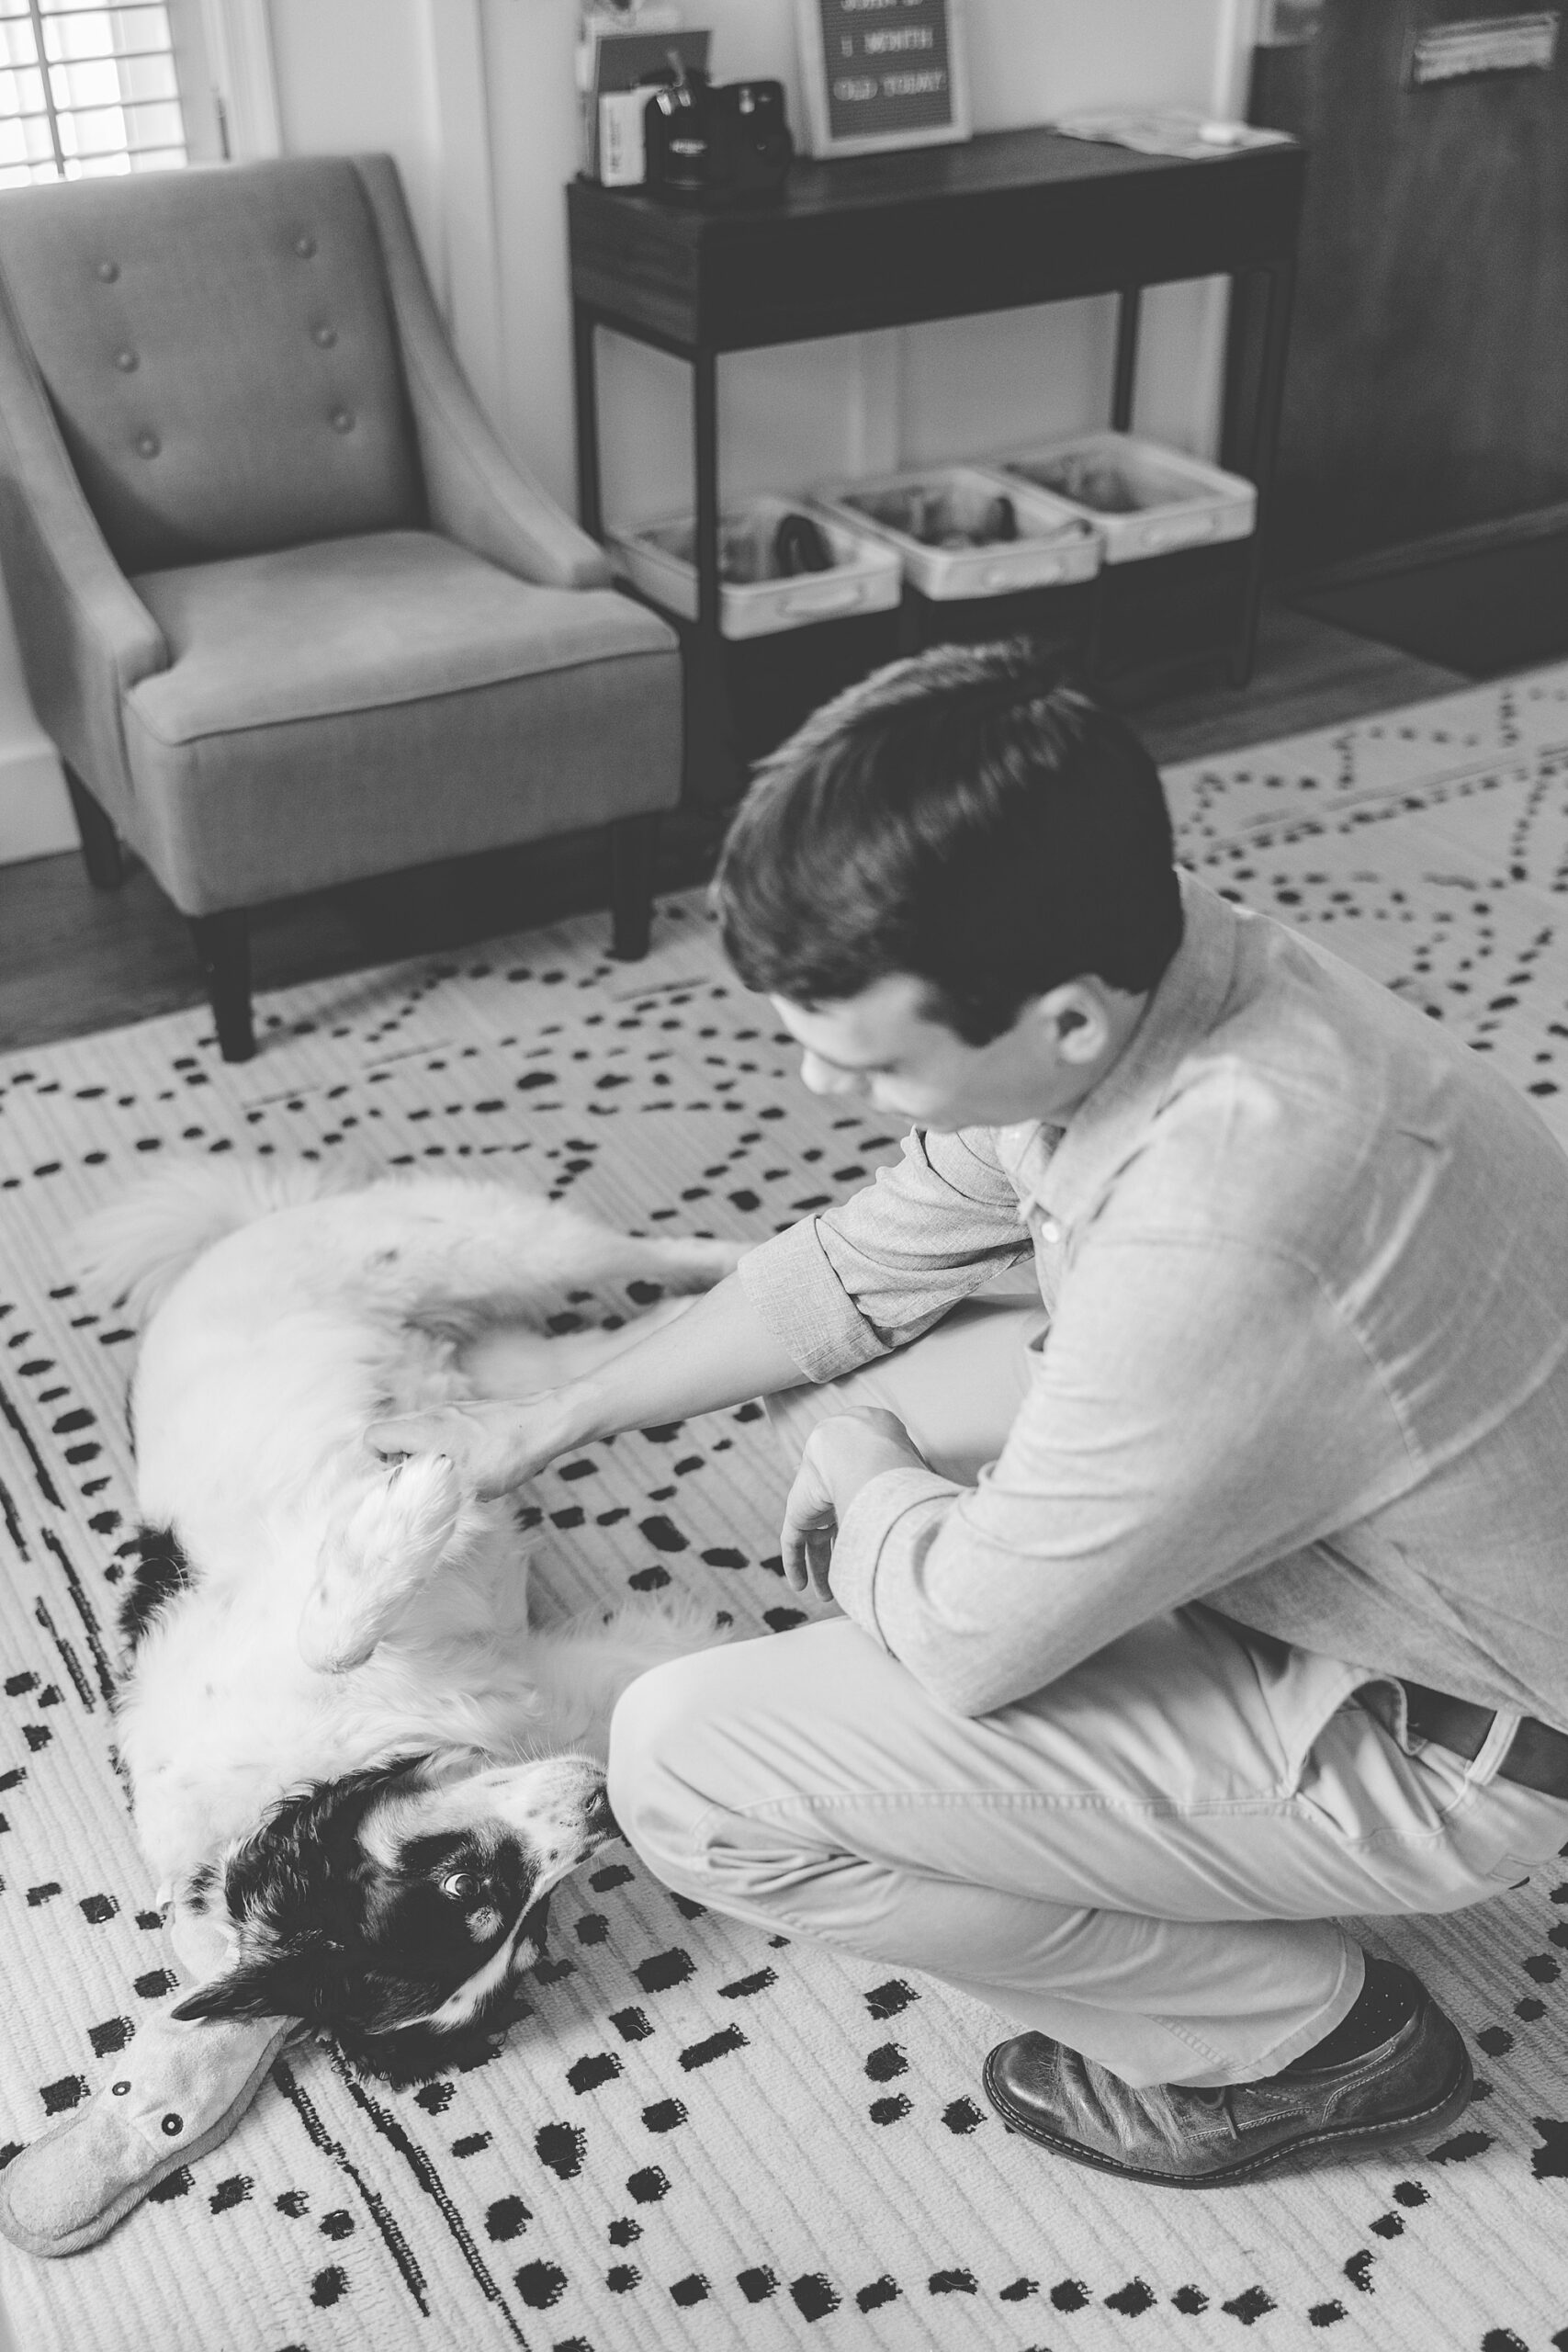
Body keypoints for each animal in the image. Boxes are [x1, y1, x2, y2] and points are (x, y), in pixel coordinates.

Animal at [83, 1161, 747, 2079]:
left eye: (463, 1885)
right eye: (521, 1930)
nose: (603, 1809)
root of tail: (226, 1236)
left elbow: (327, 1634)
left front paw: (414, 1505)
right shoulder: (527, 1677)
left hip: (482, 1245)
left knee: (649, 1252)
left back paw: (758, 1250)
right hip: (516, 1372)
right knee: (625, 1353)